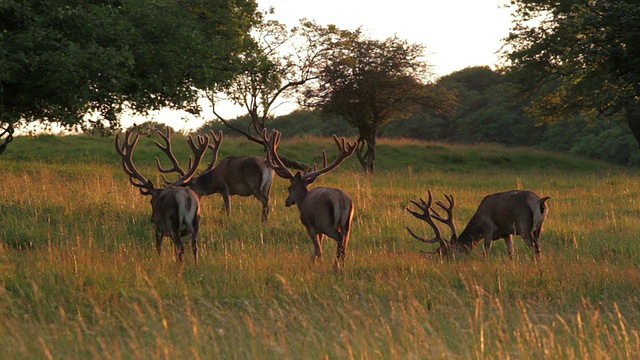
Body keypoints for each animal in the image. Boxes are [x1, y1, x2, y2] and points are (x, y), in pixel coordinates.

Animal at [114, 129, 215, 264]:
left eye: (151, 201)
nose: (151, 219)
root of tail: (187, 198)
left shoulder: (159, 228)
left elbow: (159, 248)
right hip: (196, 223)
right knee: (194, 247)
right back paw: (195, 266)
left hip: (173, 224)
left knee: (181, 247)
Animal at [262, 129, 358, 270]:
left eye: (289, 188)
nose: (287, 201)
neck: (302, 202)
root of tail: (341, 199)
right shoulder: (319, 230)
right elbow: (317, 247)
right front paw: (313, 262)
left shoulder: (309, 225)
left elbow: (317, 248)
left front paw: (316, 263)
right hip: (347, 224)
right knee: (345, 242)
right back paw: (342, 266)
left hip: (326, 223)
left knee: (339, 239)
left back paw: (335, 267)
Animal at [404, 190, 552, 258]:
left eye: (448, 253)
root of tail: (540, 201)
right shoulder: (506, 232)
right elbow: (511, 250)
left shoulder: (488, 228)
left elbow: (486, 249)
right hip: (539, 228)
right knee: (538, 244)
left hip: (524, 226)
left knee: (536, 248)